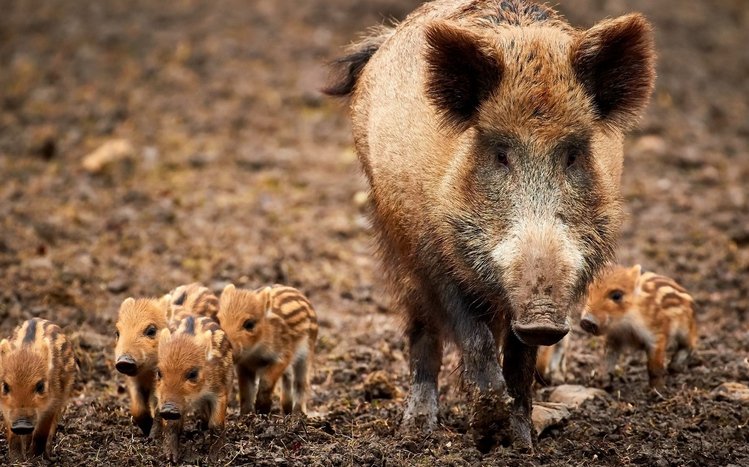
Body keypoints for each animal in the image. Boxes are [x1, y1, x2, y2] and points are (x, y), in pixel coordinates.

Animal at [0, 318, 76, 460]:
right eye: (5, 386)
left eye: (40, 386)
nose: (22, 425)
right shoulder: (6, 409)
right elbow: (13, 435)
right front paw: (16, 459)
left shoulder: (53, 404)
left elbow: (42, 432)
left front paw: (35, 458)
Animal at [114, 296, 170, 437]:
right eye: (117, 333)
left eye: (151, 331)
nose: (124, 361)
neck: (145, 374)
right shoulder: (132, 380)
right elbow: (137, 409)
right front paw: (146, 429)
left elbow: (155, 405)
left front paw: (152, 435)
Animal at [155, 315, 233, 462]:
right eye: (159, 373)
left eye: (192, 374)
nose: (169, 408)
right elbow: (171, 425)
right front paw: (171, 459)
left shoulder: (219, 391)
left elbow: (216, 424)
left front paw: (215, 458)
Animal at [217, 284, 318, 415]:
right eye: (219, 321)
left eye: (249, 324)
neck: (254, 351)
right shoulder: (244, 365)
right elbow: (245, 389)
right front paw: (246, 414)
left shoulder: (283, 356)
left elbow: (266, 381)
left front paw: (262, 411)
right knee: (288, 377)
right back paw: (286, 411)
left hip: (307, 354)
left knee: (301, 382)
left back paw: (298, 413)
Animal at [325, 0, 655, 450]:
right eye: (500, 154)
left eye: (573, 155)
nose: (542, 317)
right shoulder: (433, 253)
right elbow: (475, 339)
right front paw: (485, 432)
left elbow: (519, 362)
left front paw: (521, 443)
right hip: (393, 236)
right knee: (421, 329)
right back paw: (417, 428)